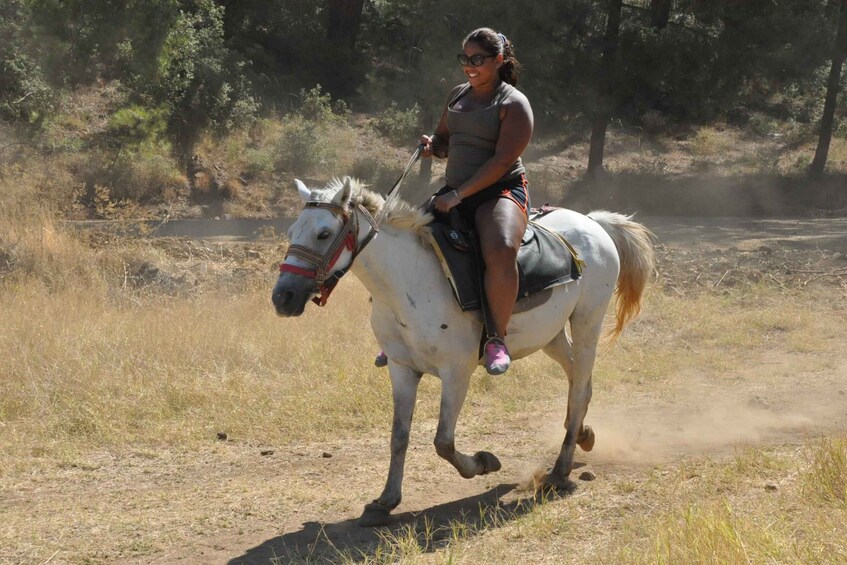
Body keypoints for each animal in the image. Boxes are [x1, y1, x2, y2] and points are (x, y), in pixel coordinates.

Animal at [272, 176, 656, 524]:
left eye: (323, 234)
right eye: (292, 231)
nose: (283, 297)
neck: (409, 281)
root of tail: (592, 222)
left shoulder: (456, 373)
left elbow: (443, 440)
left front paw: (484, 463)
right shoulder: (401, 368)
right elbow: (399, 436)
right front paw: (385, 501)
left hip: (588, 321)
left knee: (578, 388)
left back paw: (560, 471)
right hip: (551, 336)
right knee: (580, 379)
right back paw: (582, 435)